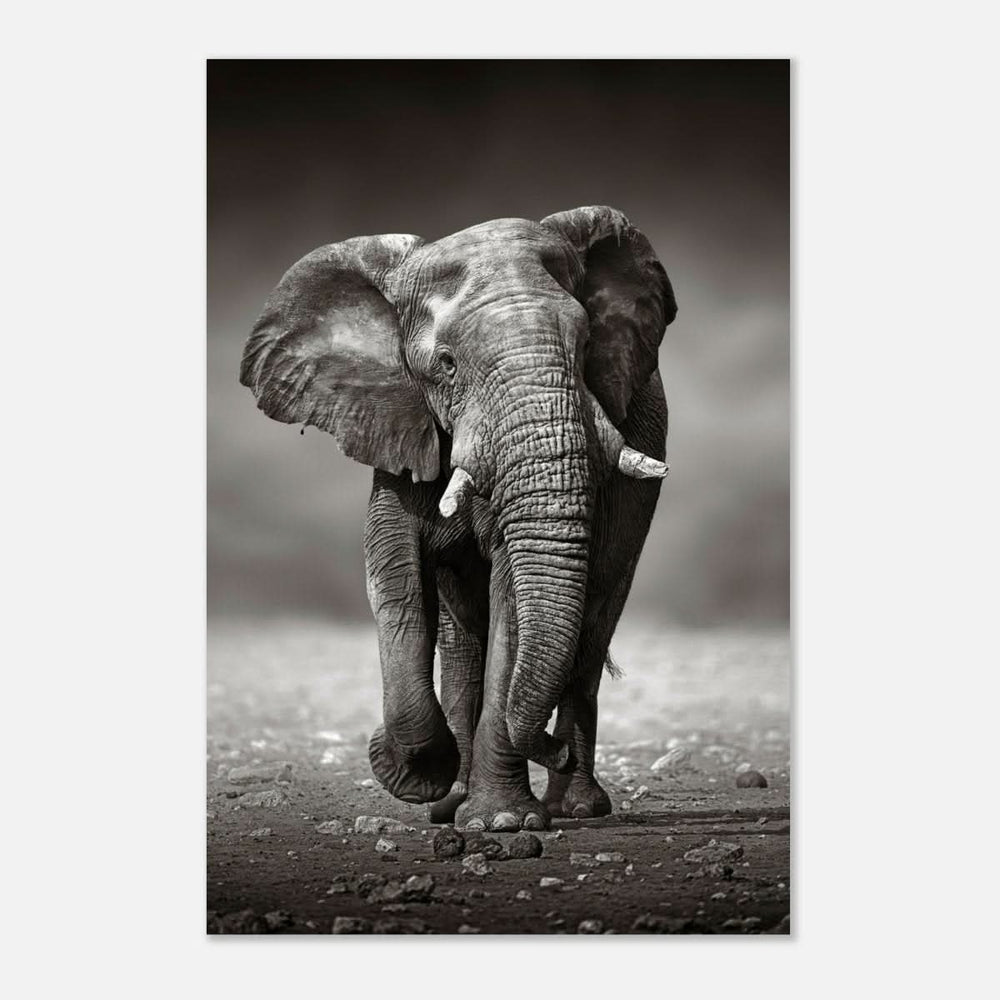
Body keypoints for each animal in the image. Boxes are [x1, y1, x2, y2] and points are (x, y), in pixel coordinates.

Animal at [240, 206, 676, 832]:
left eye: (587, 343)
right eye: (445, 365)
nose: (551, 749)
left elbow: (512, 596)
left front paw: (503, 823)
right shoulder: (398, 423)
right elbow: (394, 576)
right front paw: (418, 775)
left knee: (592, 625)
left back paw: (574, 807)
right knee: (462, 639)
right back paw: (453, 802)